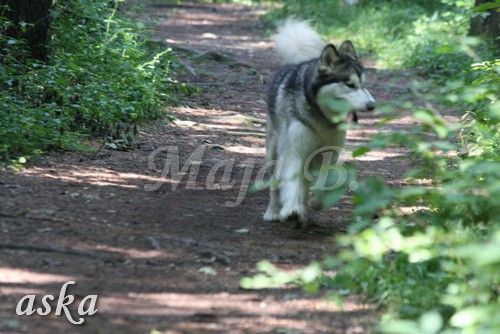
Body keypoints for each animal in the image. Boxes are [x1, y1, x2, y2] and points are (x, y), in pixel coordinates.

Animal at [264, 18, 374, 227]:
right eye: (350, 84)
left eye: (364, 84)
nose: (372, 105)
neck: (322, 119)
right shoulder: (294, 151)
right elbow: (290, 182)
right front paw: (290, 209)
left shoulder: (328, 154)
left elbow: (324, 182)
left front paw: (316, 202)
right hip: (275, 151)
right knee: (275, 183)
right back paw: (273, 211)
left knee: (305, 184)